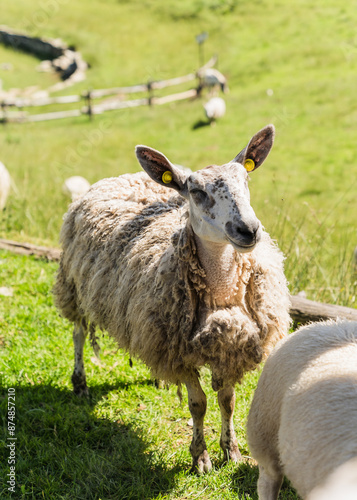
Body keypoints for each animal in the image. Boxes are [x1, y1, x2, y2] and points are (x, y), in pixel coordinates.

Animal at [53, 125, 290, 472]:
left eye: (246, 180)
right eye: (196, 191)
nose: (248, 229)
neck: (221, 291)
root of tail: (124, 176)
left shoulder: (231, 344)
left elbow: (228, 401)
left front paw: (231, 451)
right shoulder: (181, 351)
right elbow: (198, 404)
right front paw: (200, 458)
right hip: (75, 285)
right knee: (79, 333)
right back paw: (80, 382)